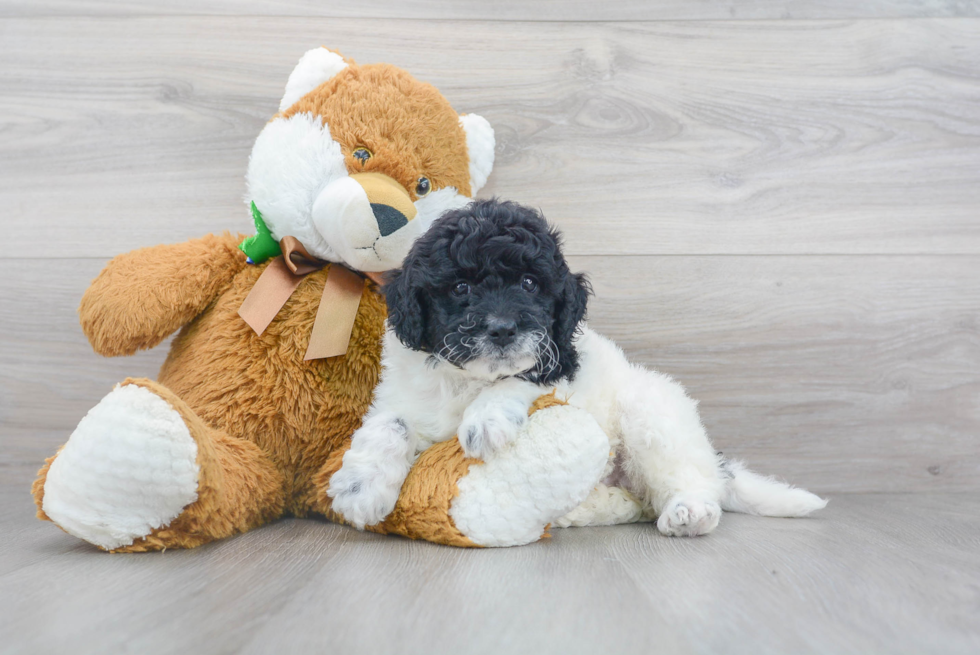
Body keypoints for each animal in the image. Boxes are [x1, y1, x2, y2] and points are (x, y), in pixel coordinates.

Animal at [330, 201, 828, 540]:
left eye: (530, 283)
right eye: (460, 287)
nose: (502, 328)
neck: (471, 379)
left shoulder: (560, 358)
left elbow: (522, 376)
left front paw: (485, 420)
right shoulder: (403, 394)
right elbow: (389, 424)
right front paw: (361, 489)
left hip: (653, 415)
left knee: (686, 474)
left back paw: (690, 511)